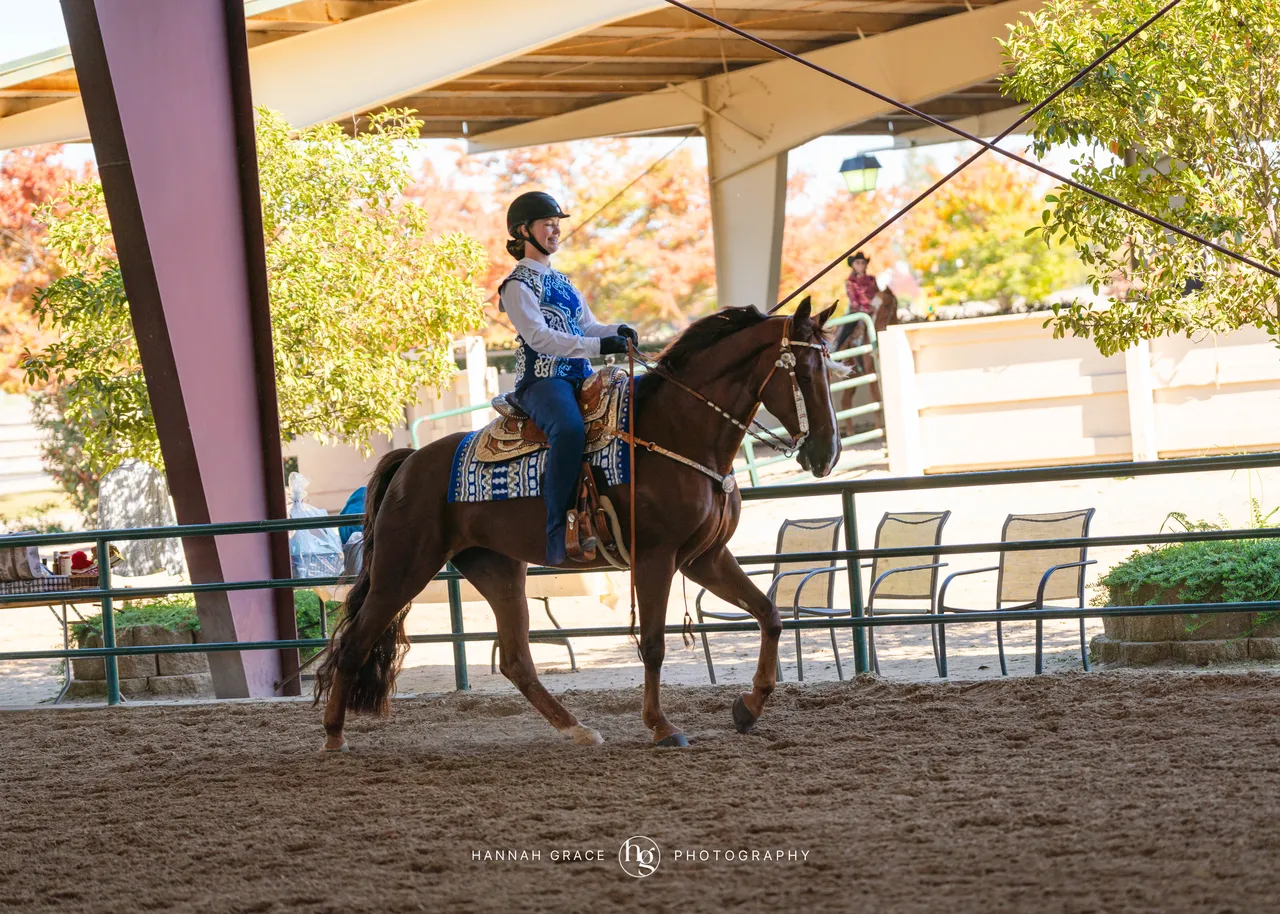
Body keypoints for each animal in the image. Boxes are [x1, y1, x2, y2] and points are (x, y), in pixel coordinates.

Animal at [315, 298, 842, 751]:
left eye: (830, 367)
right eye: (804, 372)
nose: (826, 454)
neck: (676, 433)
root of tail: (408, 463)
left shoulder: (704, 558)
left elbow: (769, 614)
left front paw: (748, 707)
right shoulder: (656, 558)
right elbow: (653, 643)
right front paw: (661, 726)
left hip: (496, 569)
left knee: (517, 661)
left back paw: (577, 729)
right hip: (403, 568)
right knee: (354, 643)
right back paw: (334, 737)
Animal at [834, 287, 899, 437]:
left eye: (887, 305)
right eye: (873, 307)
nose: (879, 328)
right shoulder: (872, 371)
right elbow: (876, 398)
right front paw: (879, 429)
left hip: (854, 377)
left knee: (846, 400)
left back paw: (851, 432)